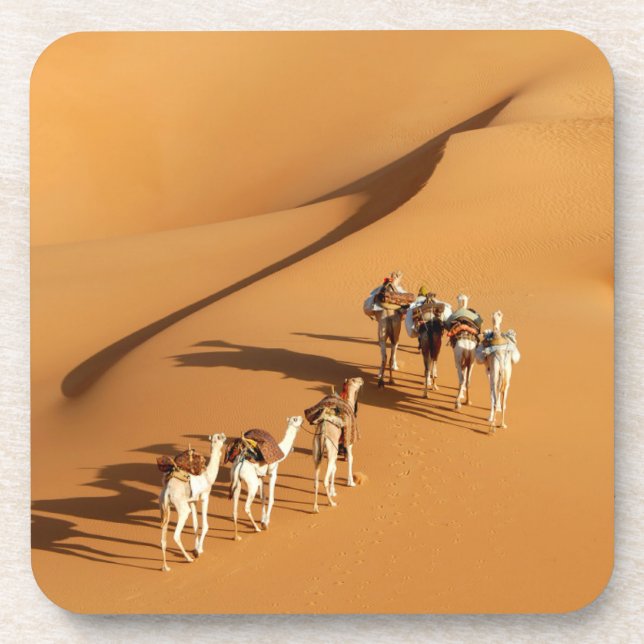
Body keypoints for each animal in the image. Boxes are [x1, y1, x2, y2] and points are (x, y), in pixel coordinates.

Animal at [159, 432, 226, 572]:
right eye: (218, 437)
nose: (224, 435)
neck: (207, 477)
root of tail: (167, 491)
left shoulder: (192, 501)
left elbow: (196, 525)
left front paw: (196, 548)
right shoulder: (205, 497)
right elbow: (205, 525)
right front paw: (198, 550)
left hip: (164, 506)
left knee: (163, 538)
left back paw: (165, 567)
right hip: (182, 508)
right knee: (176, 534)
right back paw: (188, 559)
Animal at [311, 377, 364, 512]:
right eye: (355, 380)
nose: (362, 379)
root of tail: (323, 430)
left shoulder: (336, 446)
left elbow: (334, 468)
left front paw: (333, 490)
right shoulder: (348, 443)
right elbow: (350, 458)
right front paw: (351, 482)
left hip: (317, 451)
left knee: (316, 480)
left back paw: (315, 507)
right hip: (330, 450)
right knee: (324, 479)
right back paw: (331, 503)